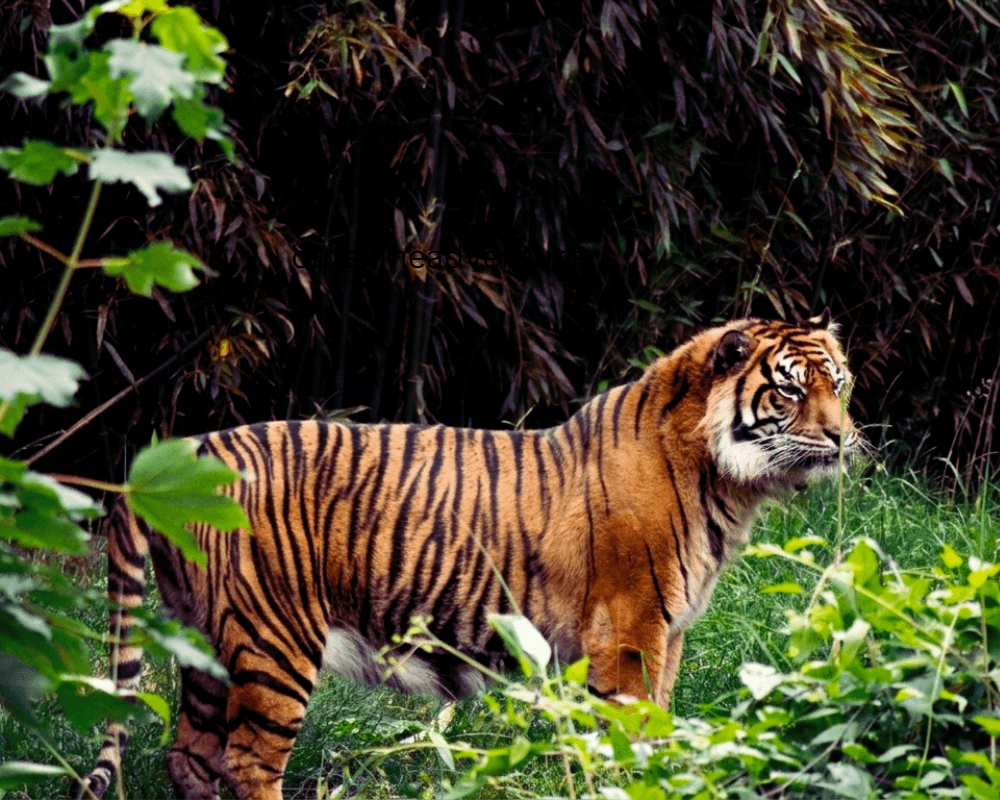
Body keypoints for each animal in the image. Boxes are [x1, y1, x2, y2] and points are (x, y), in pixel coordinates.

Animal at [76, 314, 860, 800]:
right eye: (790, 389)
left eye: (841, 384)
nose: (845, 437)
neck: (725, 481)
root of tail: (181, 456)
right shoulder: (630, 628)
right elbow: (628, 734)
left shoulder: (667, 631)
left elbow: (661, 728)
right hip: (275, 637)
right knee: (245, 761)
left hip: (206, 641)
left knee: (188, 755)